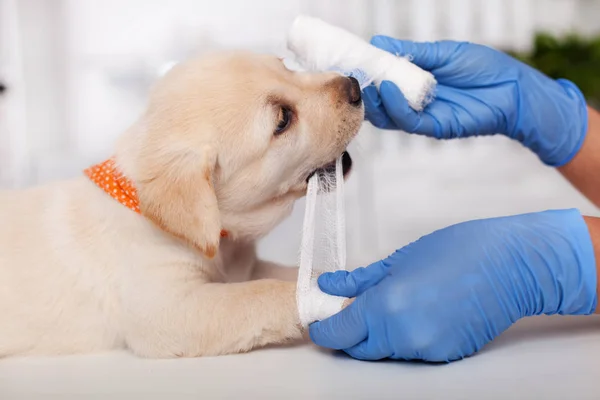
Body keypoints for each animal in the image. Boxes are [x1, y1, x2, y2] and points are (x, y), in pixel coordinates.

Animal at [0, 51, 364, 358]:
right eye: (283, 120)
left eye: (286, 66)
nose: (354, 85)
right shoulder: (168, 308)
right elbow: (260, 293)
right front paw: (340, 299)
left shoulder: (245, 268)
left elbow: (294, 274)